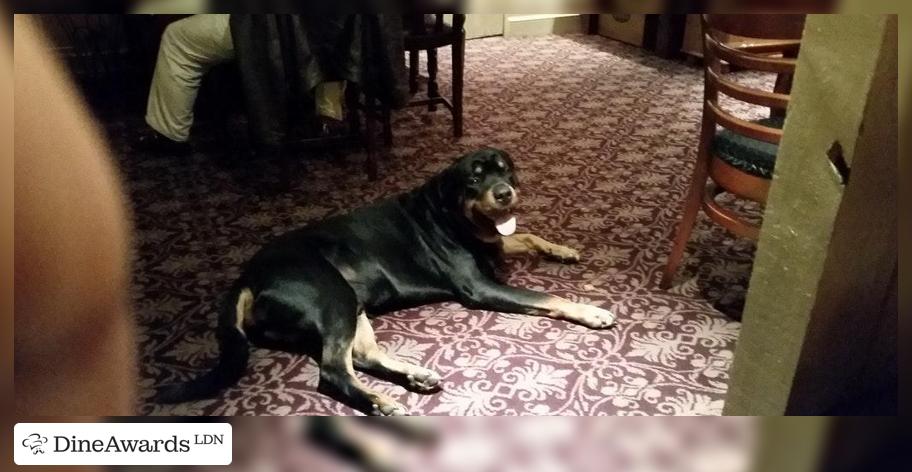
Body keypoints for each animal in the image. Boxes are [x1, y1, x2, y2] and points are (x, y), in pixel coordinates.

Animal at [157, 148, 616, 412]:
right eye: (473, 179)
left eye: (506, 171)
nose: (504, 192)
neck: (452, 214)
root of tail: (248, 275)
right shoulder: (480, 287)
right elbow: (547, 296)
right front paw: (591, 310)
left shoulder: (496, 245)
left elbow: (528, 235)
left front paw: (562, 249)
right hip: (331, 296)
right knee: (333, 370)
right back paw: (380, 403)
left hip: (351, 303)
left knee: (358, 356)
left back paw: (414, 376)